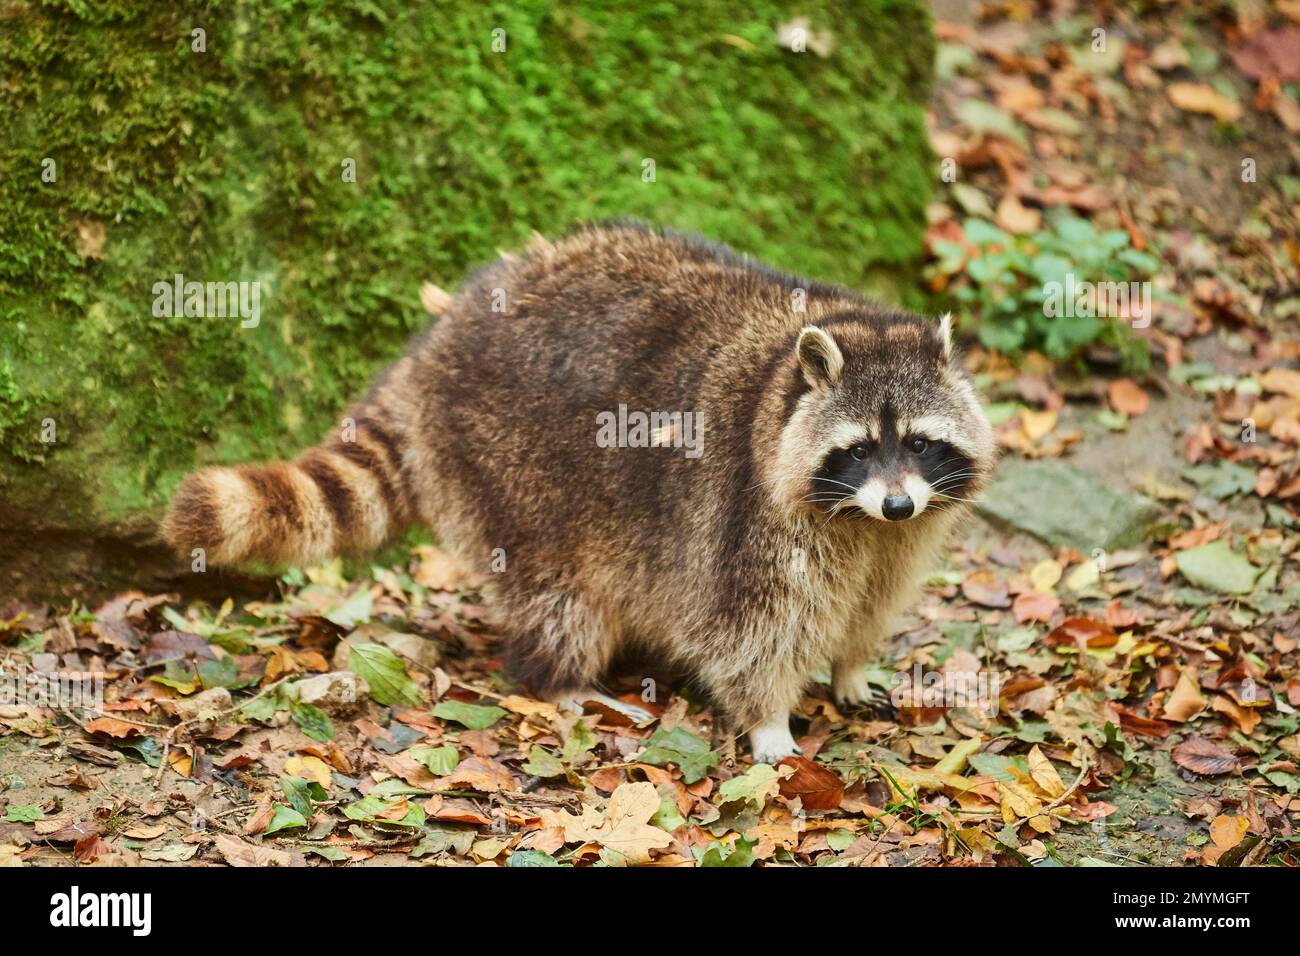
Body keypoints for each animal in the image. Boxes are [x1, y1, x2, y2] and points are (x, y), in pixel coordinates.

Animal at [165, 222, 996, 763]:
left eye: (919, 443)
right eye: (857, 449)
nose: (896, 502)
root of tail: (433, 349)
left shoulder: (900, 535)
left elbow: (872, 600)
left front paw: (851, 664)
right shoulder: (751, 514)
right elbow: (750, 631)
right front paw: (769, 722)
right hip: (506, 467)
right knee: (562, 598)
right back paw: (564, 682)